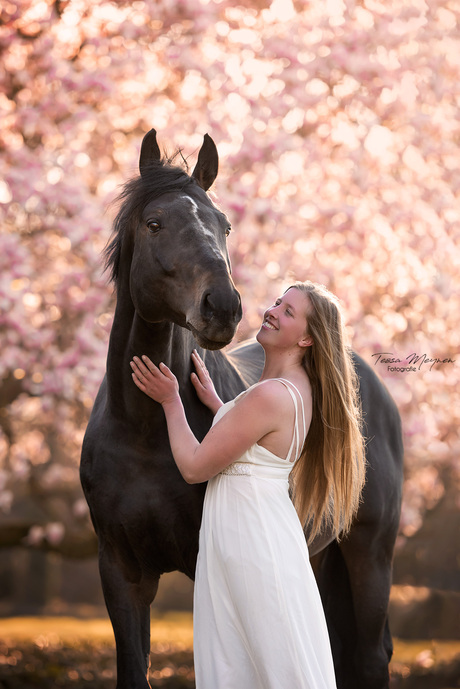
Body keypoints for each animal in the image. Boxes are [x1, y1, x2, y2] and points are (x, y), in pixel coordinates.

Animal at [81, 130, 404, 688]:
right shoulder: (120, 571)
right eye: (154, 222)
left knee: (367, 657)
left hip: (369, 557)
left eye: (223, 225)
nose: (223, 307)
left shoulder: (202, 561)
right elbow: (133, 668)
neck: (142, 433)